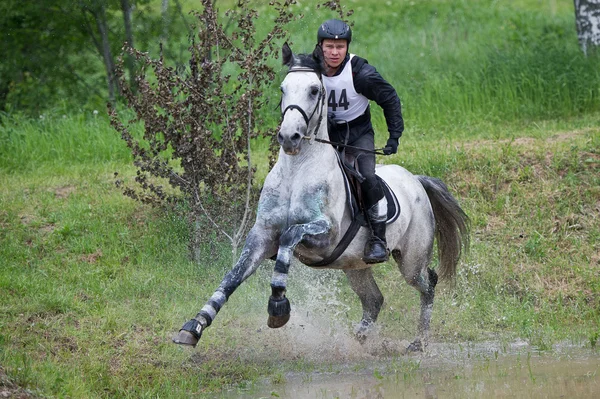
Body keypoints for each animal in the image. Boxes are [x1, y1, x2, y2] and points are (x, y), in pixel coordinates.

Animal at [171, 43, 472, 354]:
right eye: (283, 88)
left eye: (315, 90)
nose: (288, 137)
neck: (297, 169)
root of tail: (416, 180)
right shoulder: (262, 234)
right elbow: (232, 276)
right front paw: (194, 326)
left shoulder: (325, 235)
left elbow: (289, 237)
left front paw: (278, 305)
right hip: (355, 265)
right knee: (374, 299)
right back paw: (359, 339)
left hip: (411, 259)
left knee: (428, 283)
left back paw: (419, 342)